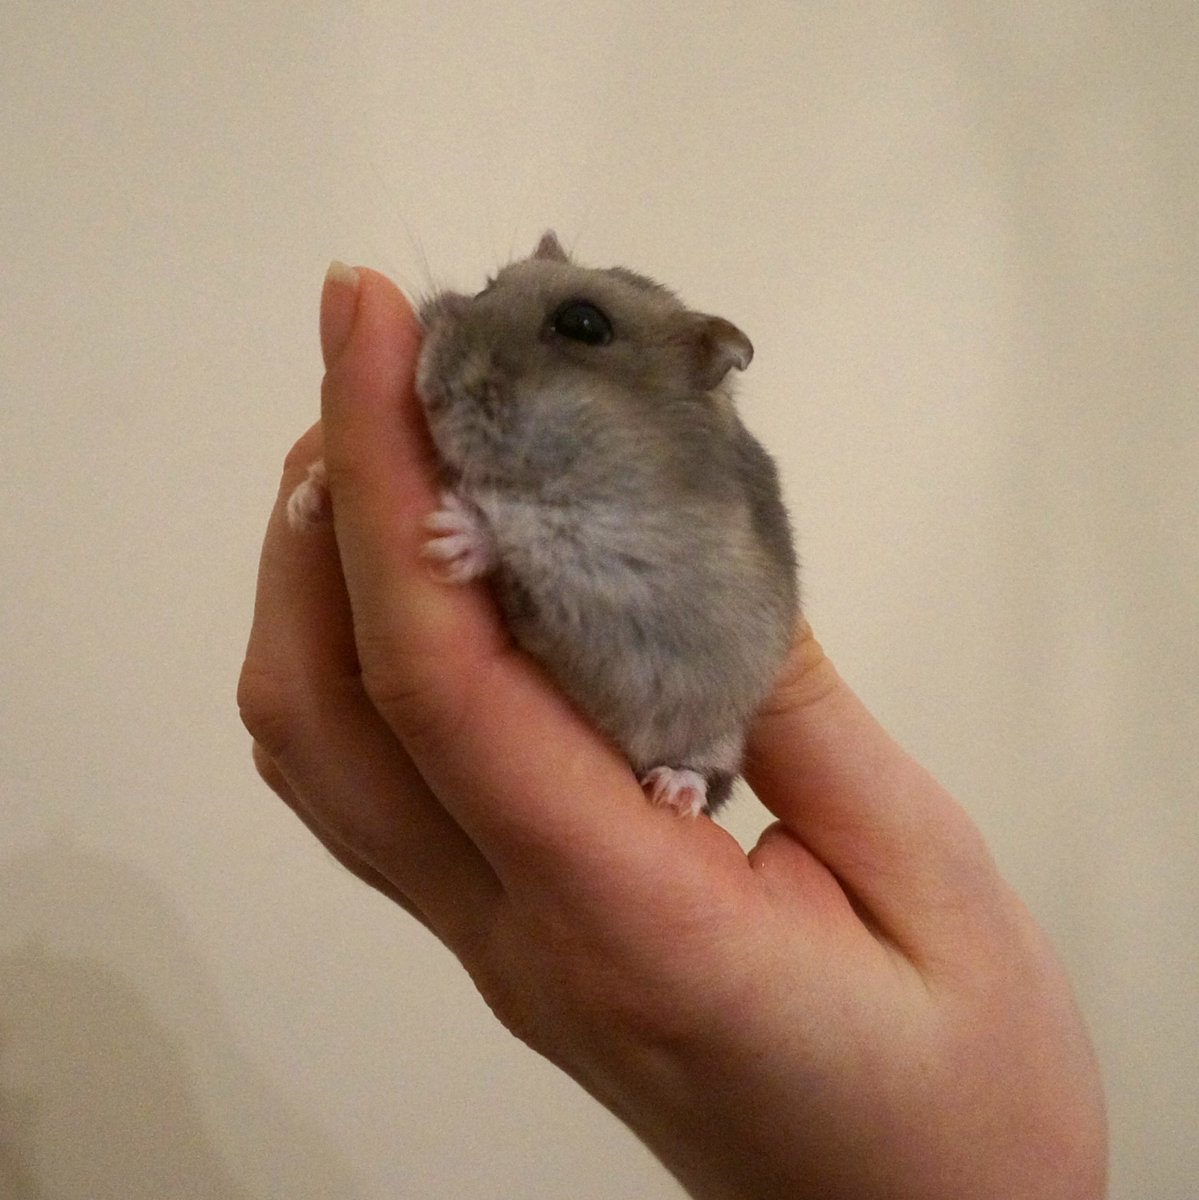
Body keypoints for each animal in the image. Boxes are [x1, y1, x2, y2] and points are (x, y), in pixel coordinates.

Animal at [291, 233, 798, 816]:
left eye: (583, 324)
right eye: (489, 285)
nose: (430, 388)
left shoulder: (631, 576)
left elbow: (544, 539)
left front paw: (448, 536)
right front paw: (305, 500)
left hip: (722, 726)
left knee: (711, 773)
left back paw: (674, 792)